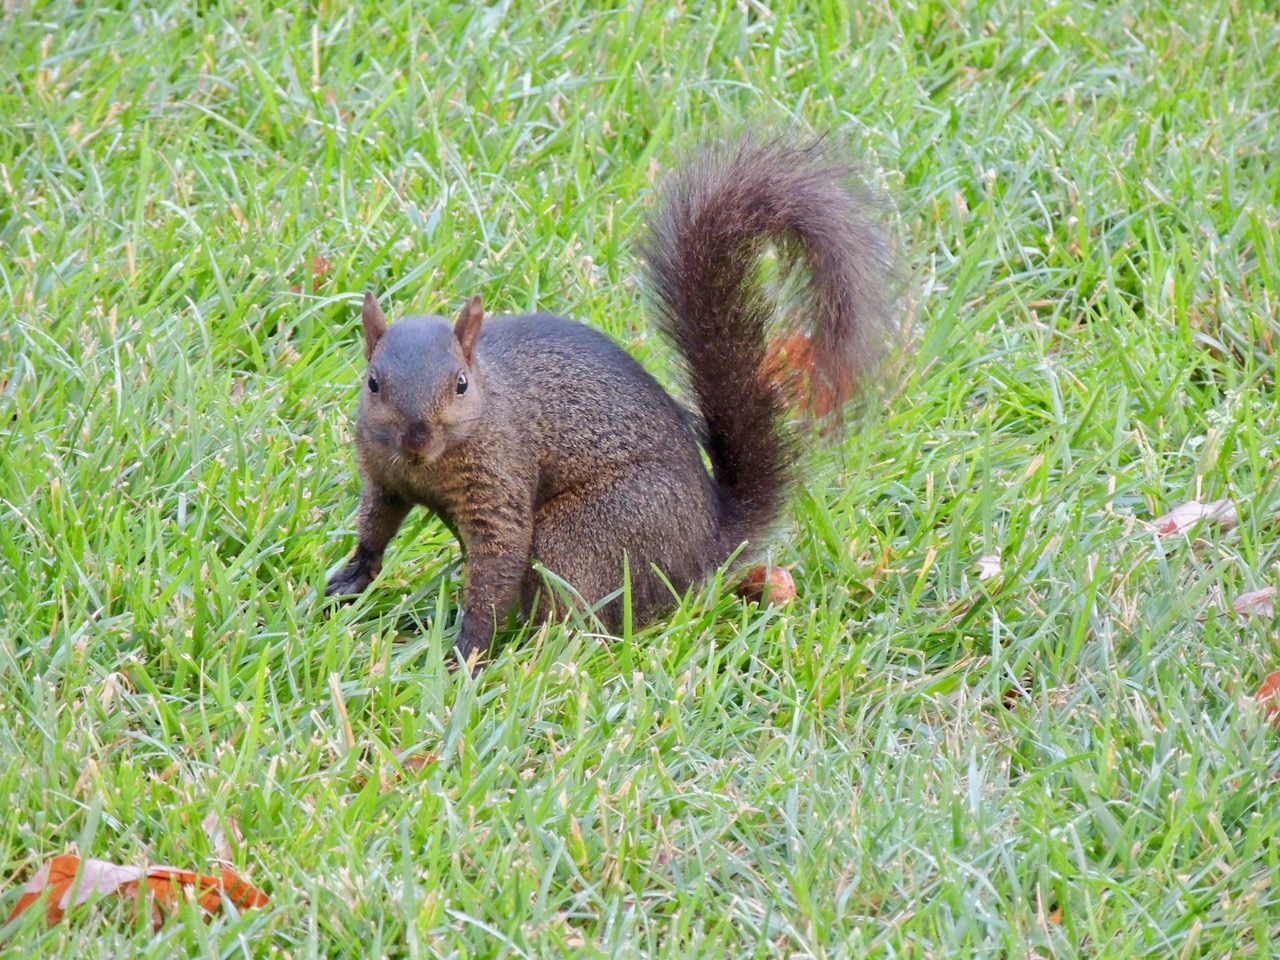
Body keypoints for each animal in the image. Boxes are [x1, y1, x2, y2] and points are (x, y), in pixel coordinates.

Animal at [325, 135, 896, 665]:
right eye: (372, 382)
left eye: (461, 384)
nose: (416, 438)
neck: (432, 464)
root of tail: (703, 546)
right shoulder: (382, 472)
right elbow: (377, 520)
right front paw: (351, 577)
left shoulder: (501, 477)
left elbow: (498, 559)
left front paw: (468, 652)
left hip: (589, 533)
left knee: (582, 613)